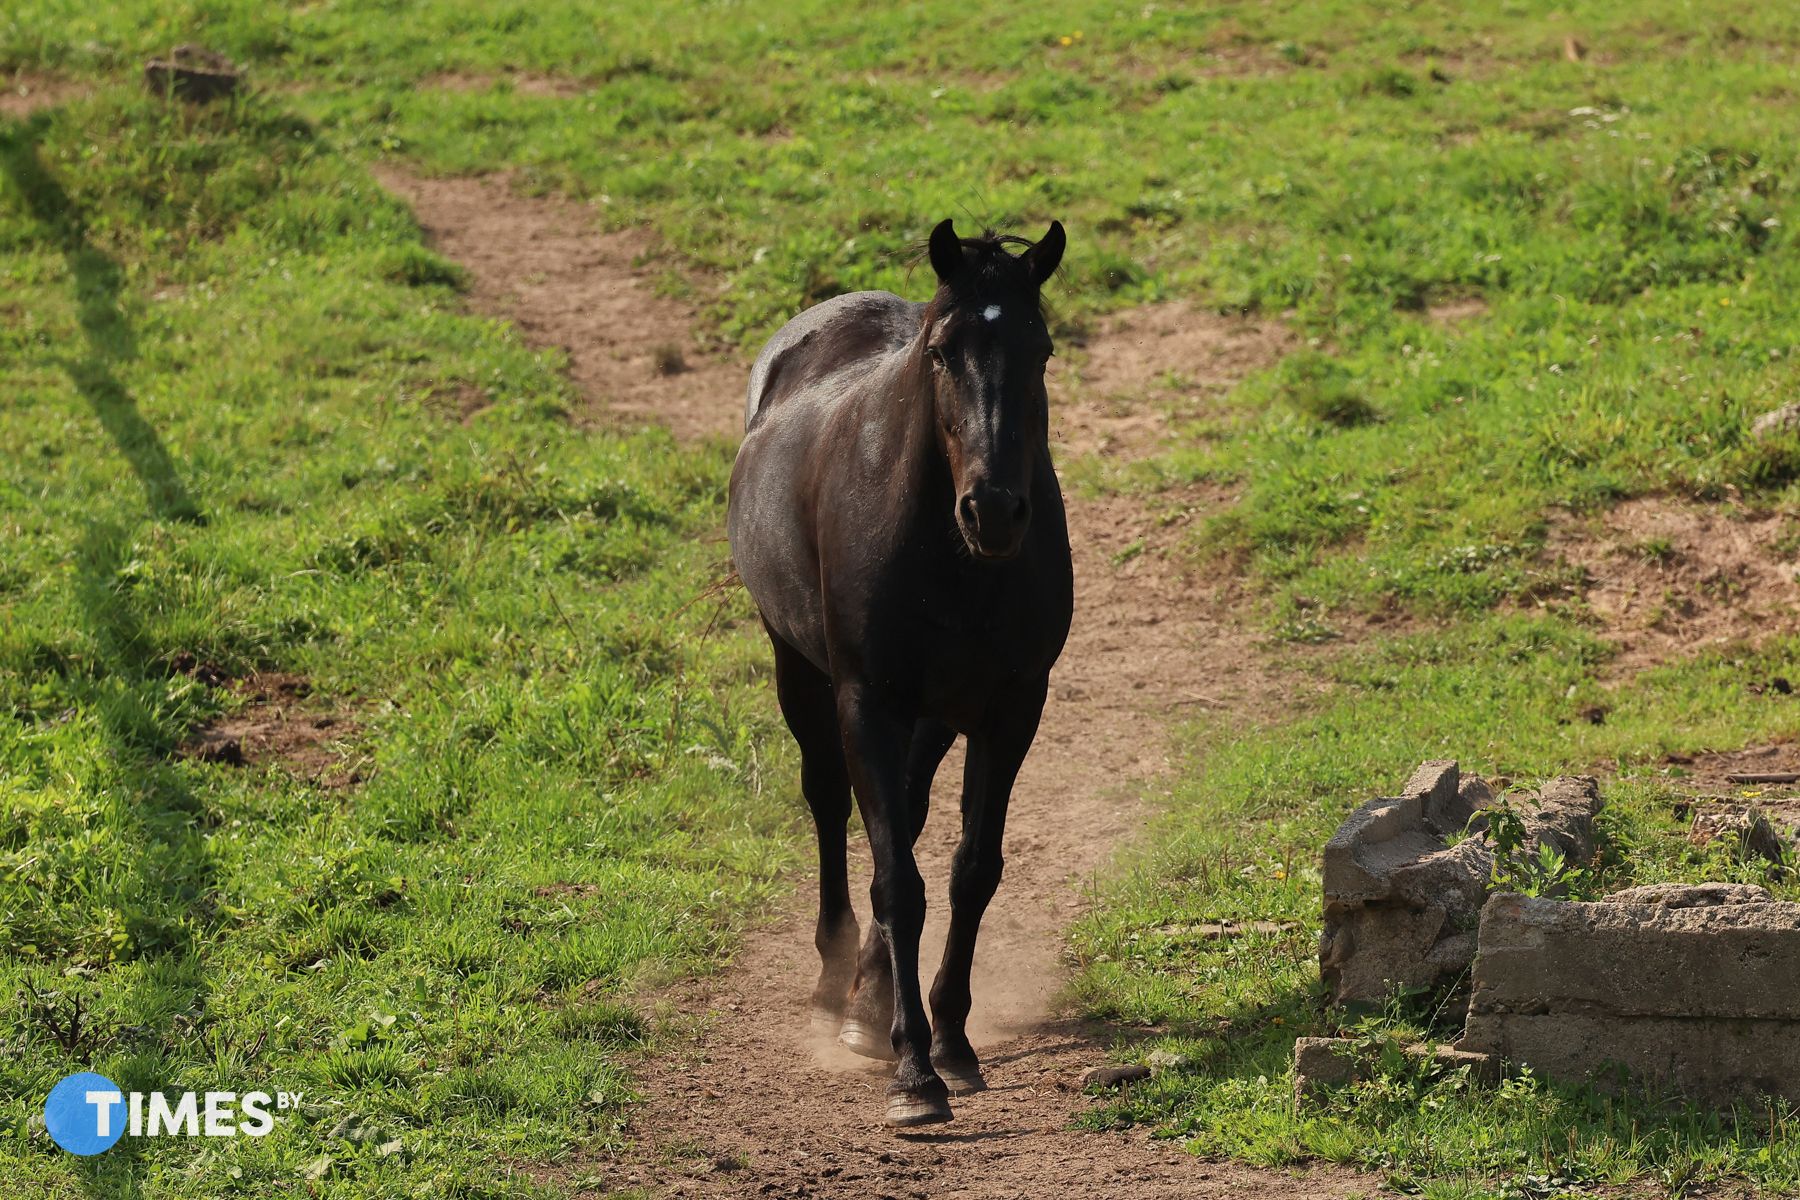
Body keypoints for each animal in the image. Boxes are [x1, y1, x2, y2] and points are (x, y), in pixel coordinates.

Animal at [726, 218, 1073, 1126]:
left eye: (1042, 349)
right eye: (943, 352)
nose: (995, 509)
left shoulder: (1010, 707)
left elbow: (969, 871)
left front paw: (950, 1039)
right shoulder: (868, 702)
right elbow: (896, 882)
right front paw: (914, 1072)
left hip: (936, 714)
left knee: (909, 815)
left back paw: (868, 997)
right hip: (801, 670)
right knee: (829, 802)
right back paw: (835, 990)